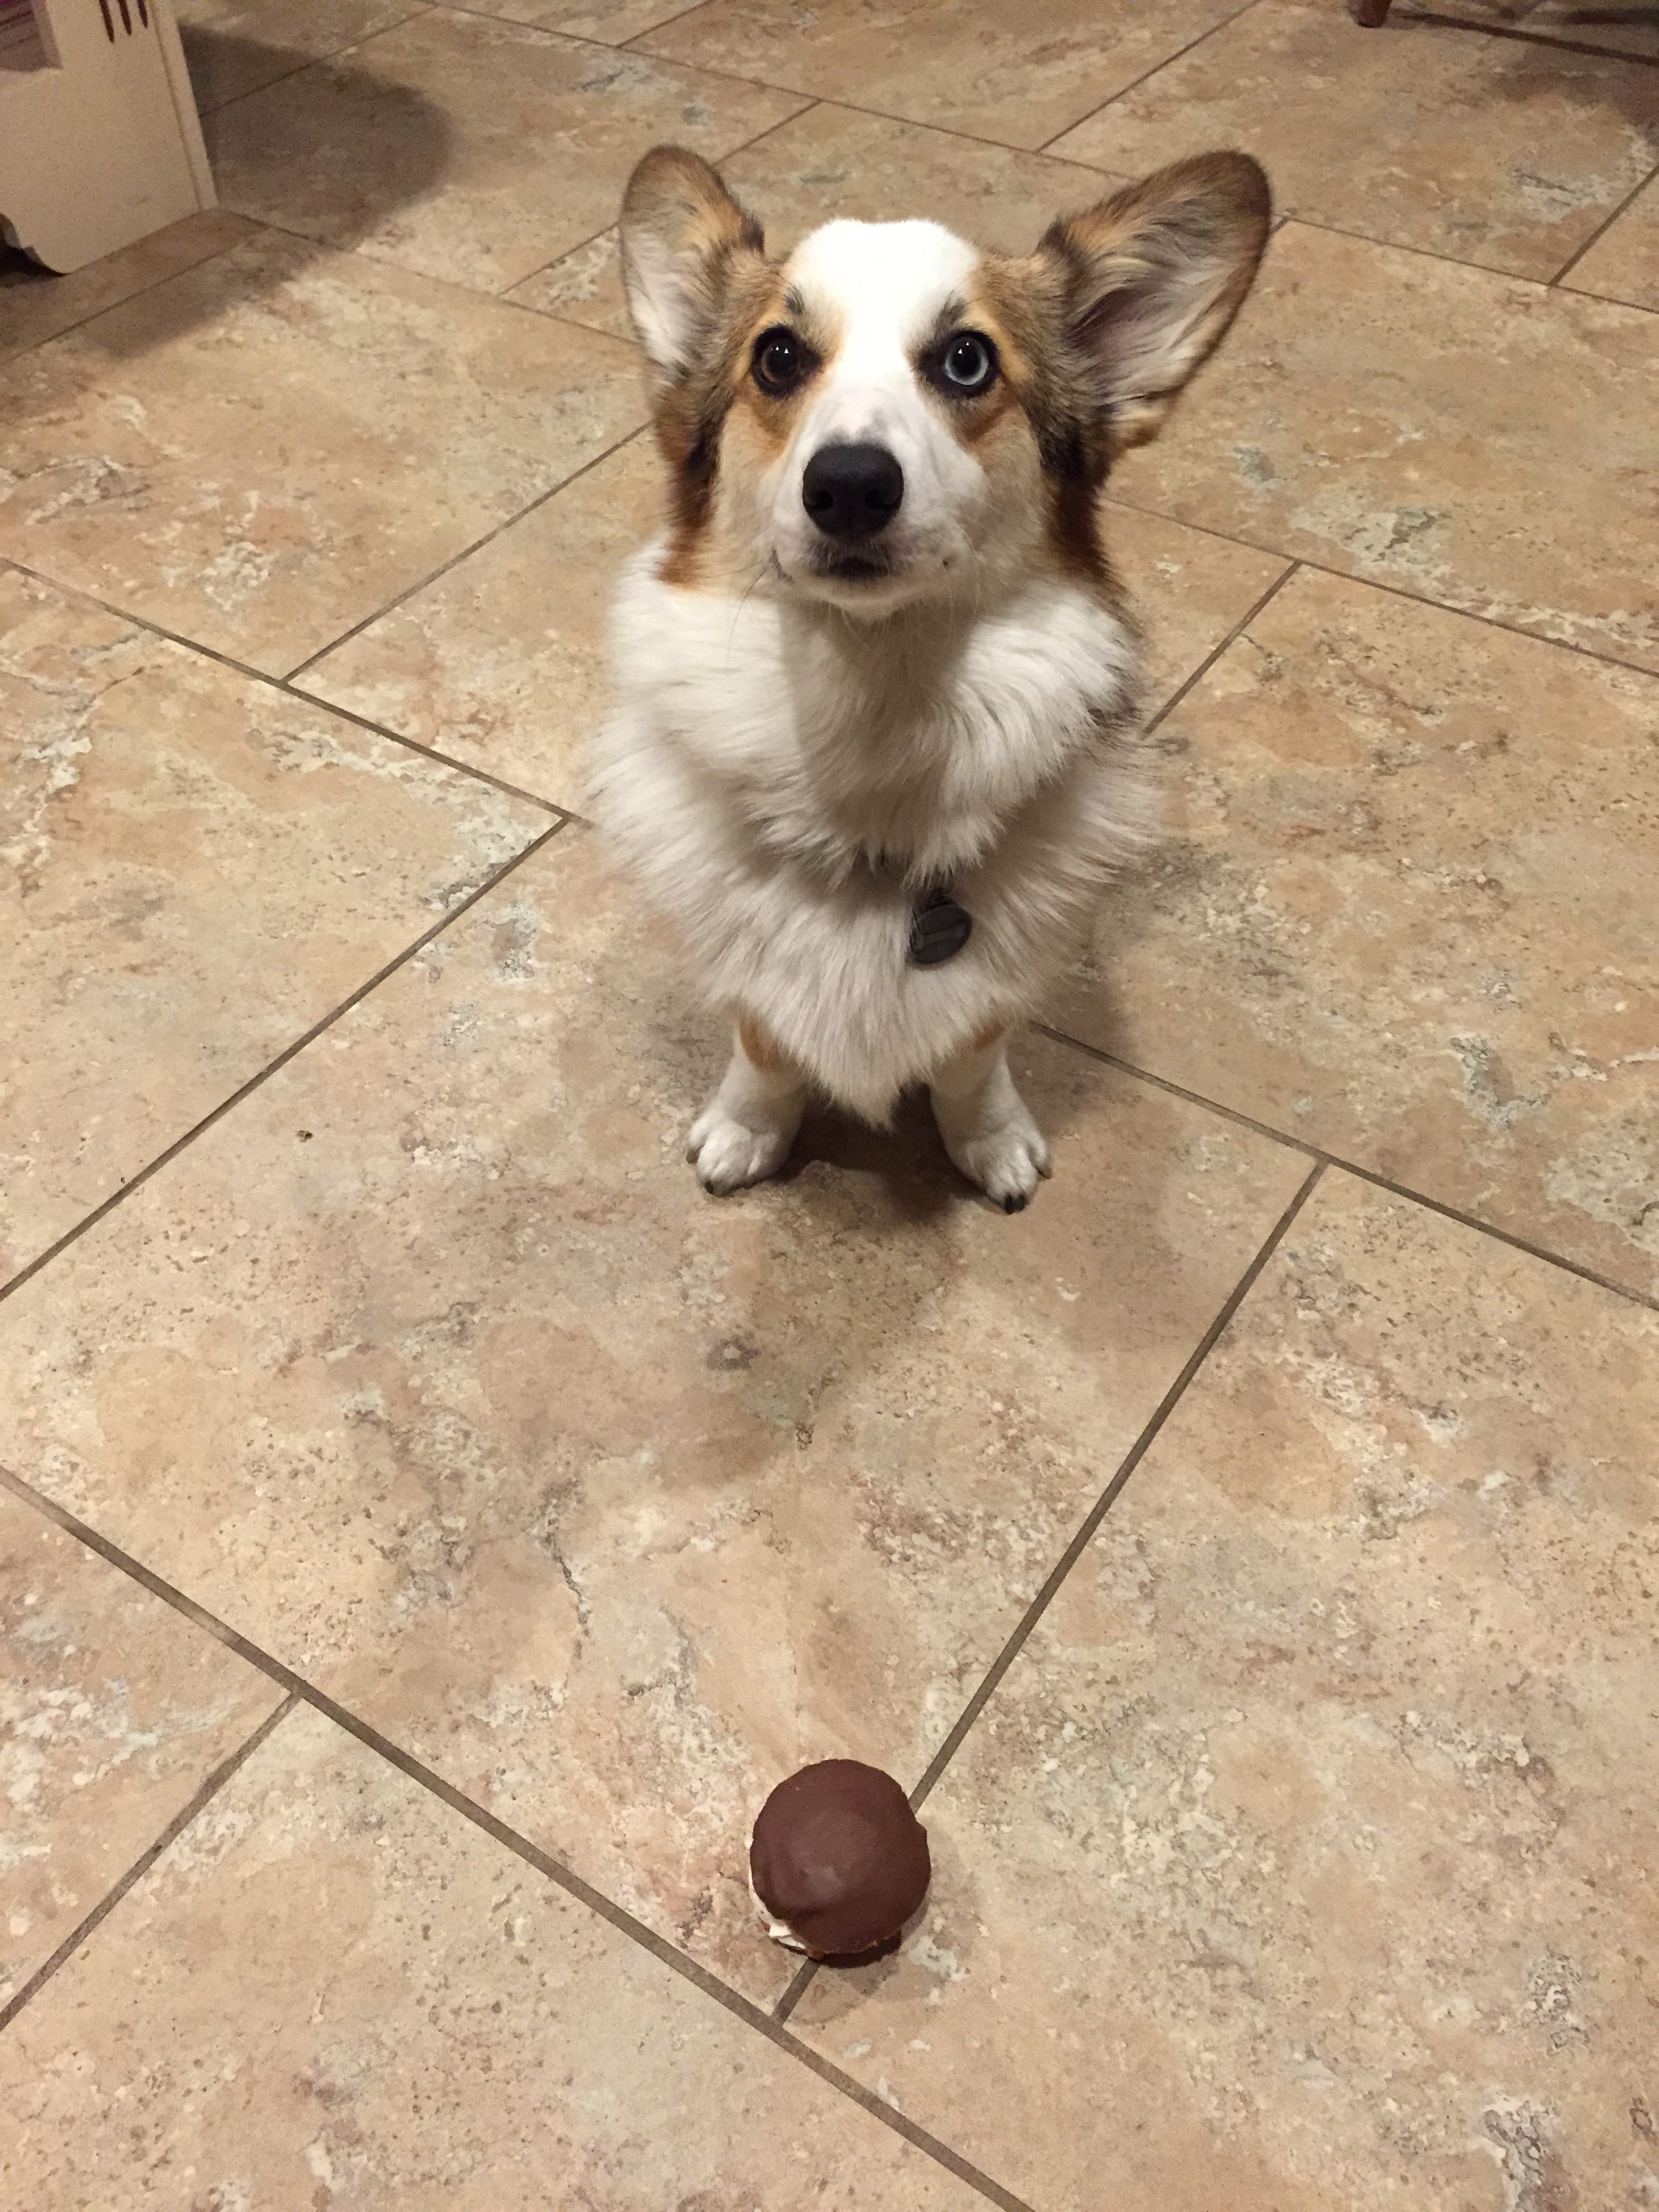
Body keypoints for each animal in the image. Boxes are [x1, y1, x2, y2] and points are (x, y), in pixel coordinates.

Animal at [593, 142, 1274, 1212]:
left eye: (967, 360)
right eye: (777, 357)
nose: (849, 487)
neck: (875, 687)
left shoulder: (989, 980)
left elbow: (970, 1056)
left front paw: (991, 1142)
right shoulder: (753, 975)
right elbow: (763, 1041)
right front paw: (746, 1129)